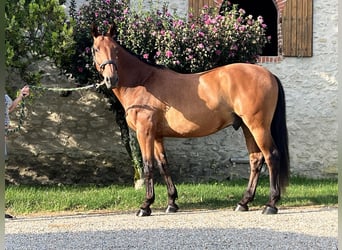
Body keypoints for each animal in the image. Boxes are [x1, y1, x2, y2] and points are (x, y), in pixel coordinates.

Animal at [90, 24, 288, 217]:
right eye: (95, 49)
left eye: (115, 49)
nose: (111, 78)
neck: (142, 82)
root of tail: (268, 74)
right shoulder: (157, 135)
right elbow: (163, 165)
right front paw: (171, 203)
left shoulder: (144, 132)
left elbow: (148, 166)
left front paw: (145, 206)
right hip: (247, 127)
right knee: (256, 159)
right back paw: (243, 202)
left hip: (258, 126)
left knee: (271, 156)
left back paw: (271, 204)